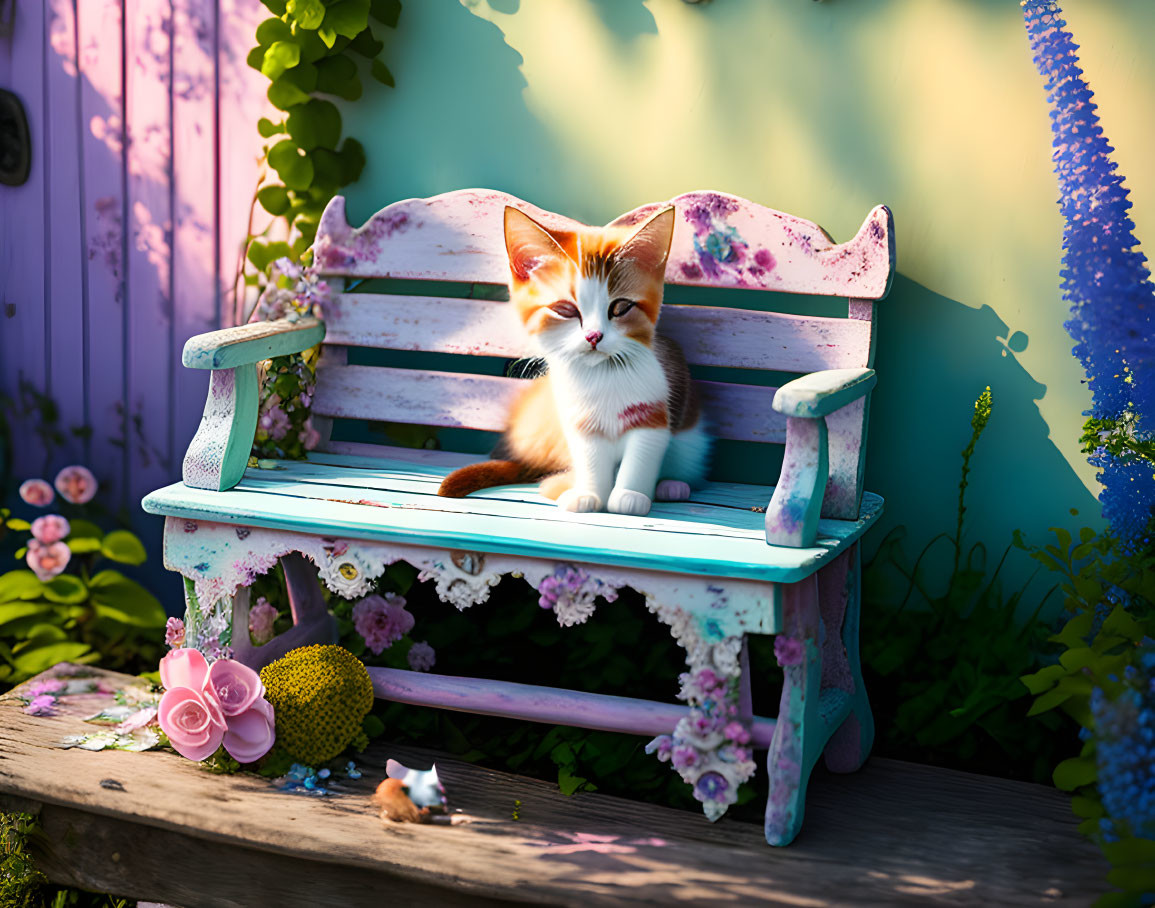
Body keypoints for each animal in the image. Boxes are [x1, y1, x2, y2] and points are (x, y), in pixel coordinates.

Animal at [436, 206, 706, 517]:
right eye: (565, 309)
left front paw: (630, 495)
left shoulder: (655, 410)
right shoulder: (578, 419)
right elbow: (590, 457)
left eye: (621, 307)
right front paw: (589, 494)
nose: (594, 336)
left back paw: (670, 485)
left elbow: (642, 453)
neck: (602, 375)